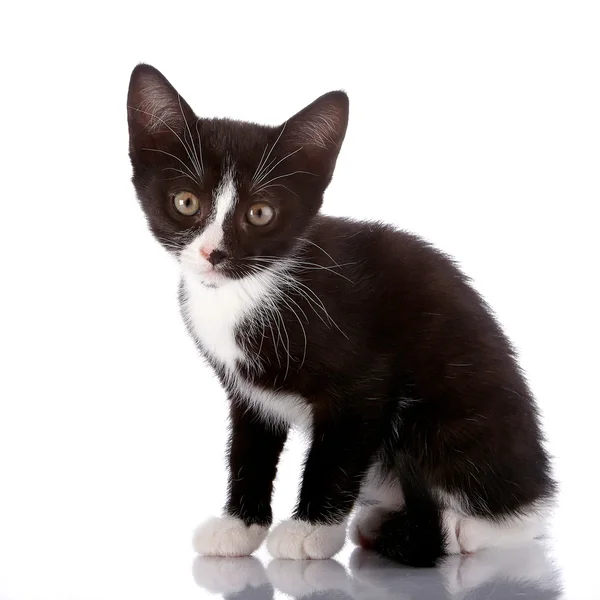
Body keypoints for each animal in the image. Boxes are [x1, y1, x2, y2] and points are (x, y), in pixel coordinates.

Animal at [127, 65, 556, 568]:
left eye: (260, 212)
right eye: (187, 202)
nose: (215, 253)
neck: (249, 288)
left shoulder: (364, 381)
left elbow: (335, 455)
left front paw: (311, 531)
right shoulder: (248, 392)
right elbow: (249, 451)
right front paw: (240, 526)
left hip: (451, 413)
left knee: (510, 515)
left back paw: (459, 528)